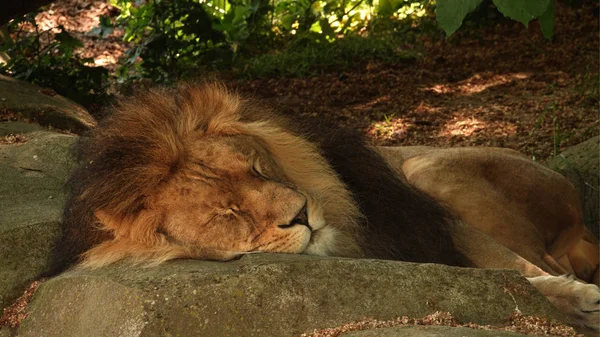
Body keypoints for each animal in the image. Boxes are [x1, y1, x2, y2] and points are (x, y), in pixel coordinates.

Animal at [52, 83, 600, 330]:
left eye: (257, 168)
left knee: (546, 257)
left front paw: (578, 298)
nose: (300, 214)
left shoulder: (430, 224)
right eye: (226, 214)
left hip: (429, 169)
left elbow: (515, 270)